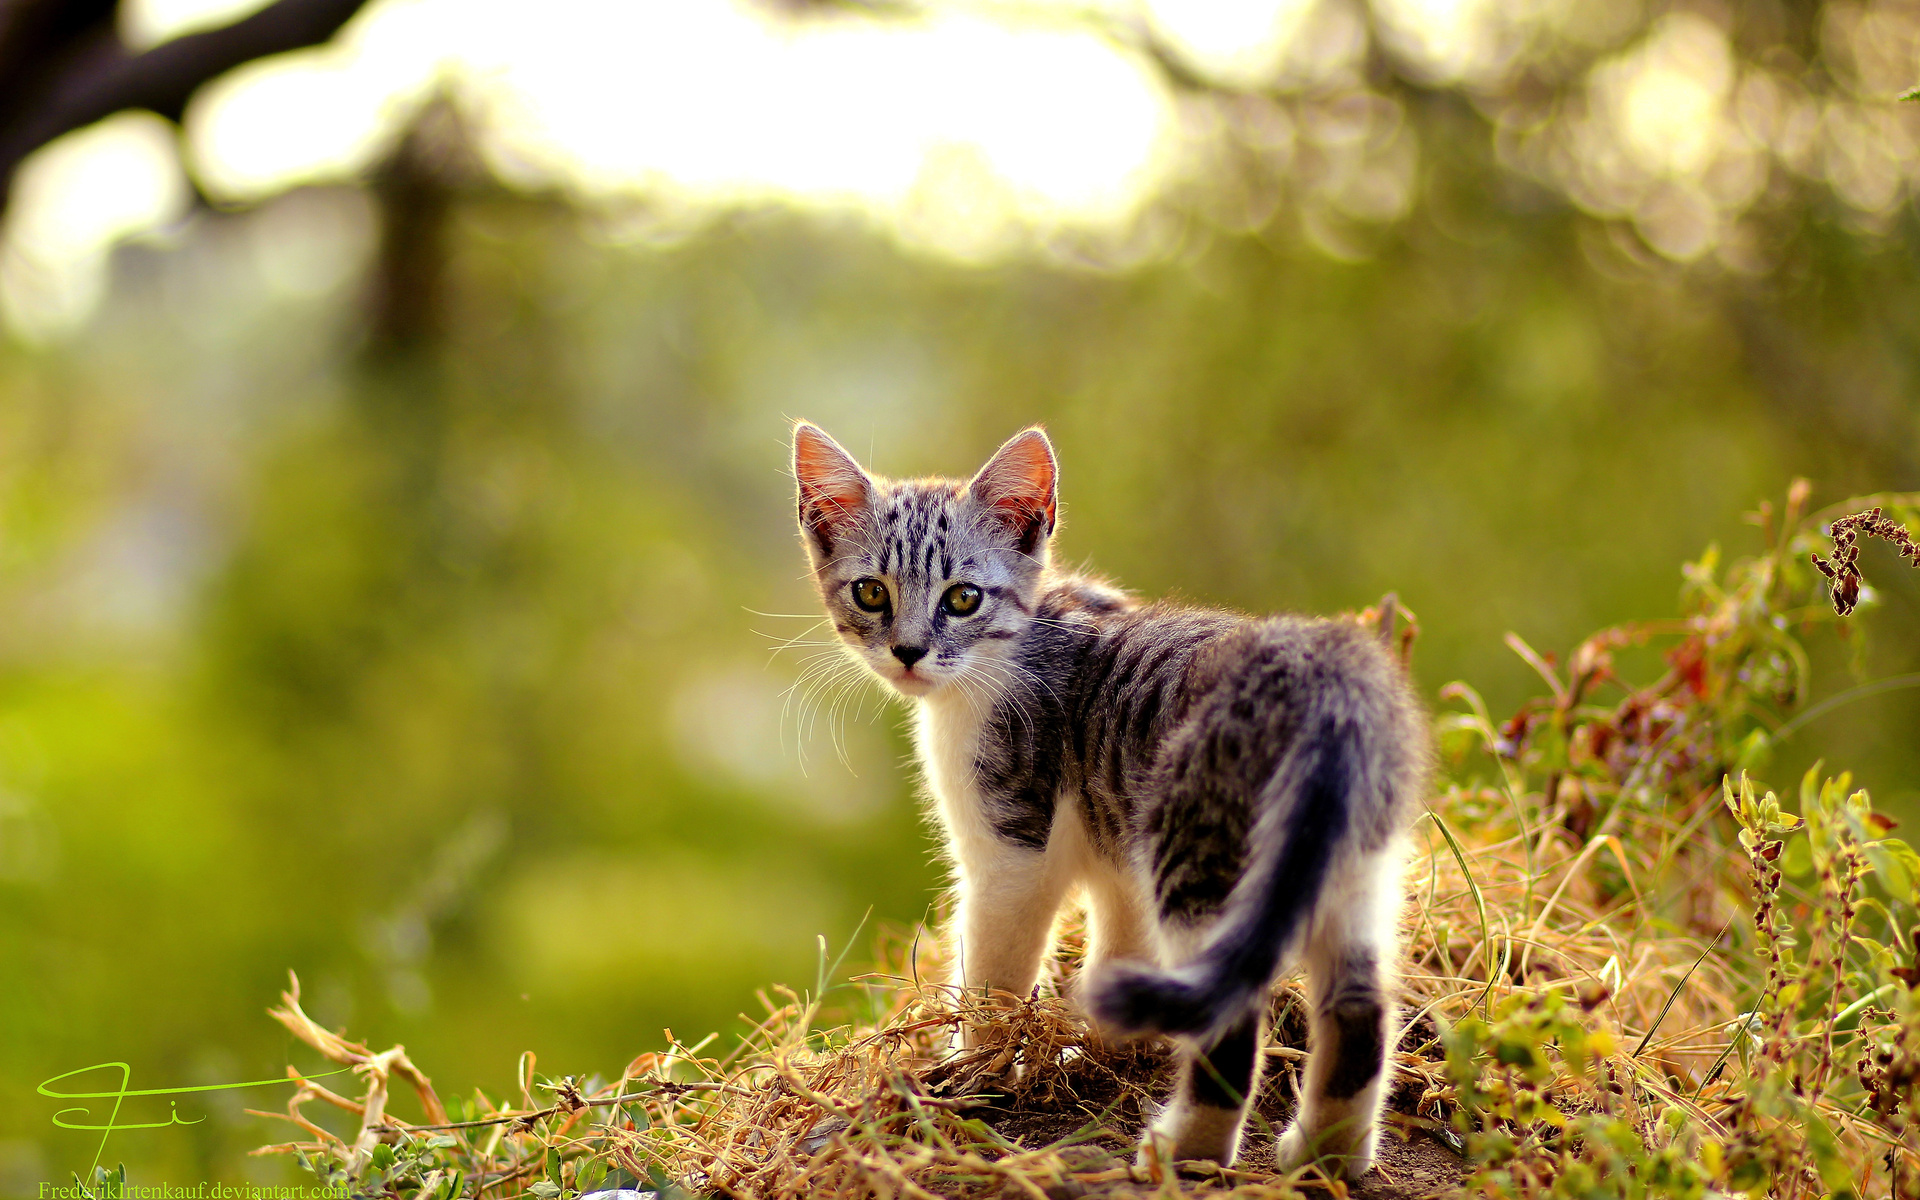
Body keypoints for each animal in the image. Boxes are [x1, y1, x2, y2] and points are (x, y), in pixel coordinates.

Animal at [787, 418, 1436, 1167]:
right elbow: (1124, 947)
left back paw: (1186, 1150)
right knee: (1360, 1004)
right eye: (871, 593)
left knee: (1232, 1015)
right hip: (1356, 865)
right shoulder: (1117, 846)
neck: (1017, 641)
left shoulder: (1012, 846)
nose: (909, 651)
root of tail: (1328, 681)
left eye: (963, 598)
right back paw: (1326, 1154)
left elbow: (992, 974)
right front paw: (1104, 1046)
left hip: (1200, 846)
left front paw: (975, 1069)